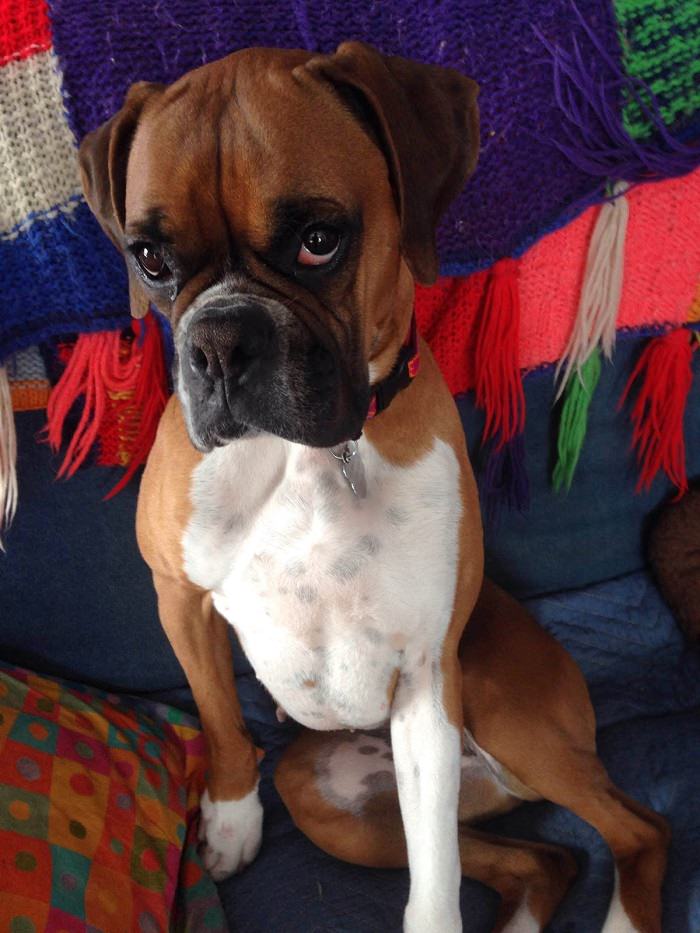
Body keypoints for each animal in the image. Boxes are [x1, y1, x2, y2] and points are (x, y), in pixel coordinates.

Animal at [79, 41, 668, 924]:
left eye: (320, 240)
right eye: (150, 258)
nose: (219, 341)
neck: (308, 456)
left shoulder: (426, 673)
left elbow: (434, 890)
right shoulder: (178, 597)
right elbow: (219, 719)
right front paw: (231, 820)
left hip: (497, 709)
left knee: (635, 826)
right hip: (331, 805)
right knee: (543, 857)